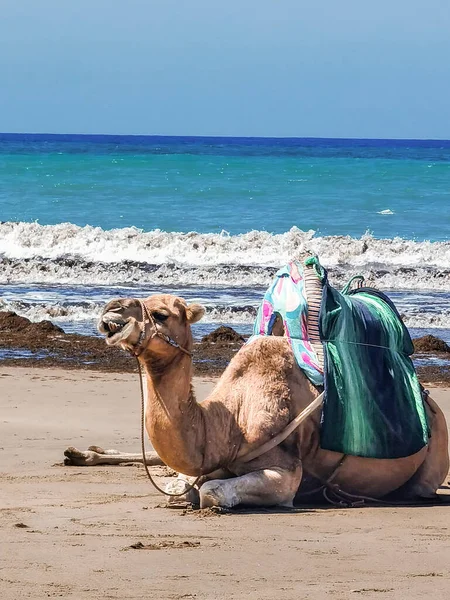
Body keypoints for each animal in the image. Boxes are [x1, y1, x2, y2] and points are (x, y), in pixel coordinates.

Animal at [65, 292, 448, 508]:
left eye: (161, 315)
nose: (112, 309)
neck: (228, 422)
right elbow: (178, 485)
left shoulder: (286, 472)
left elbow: (211, 492)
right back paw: (80, 453)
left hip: (430, 465)